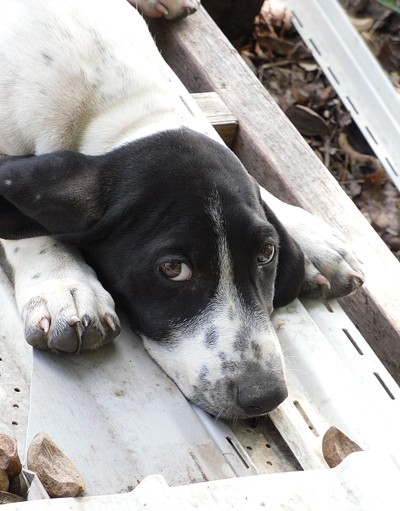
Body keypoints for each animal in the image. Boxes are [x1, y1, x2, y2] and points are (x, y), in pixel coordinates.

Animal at [0, 0, 364, 420]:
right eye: (173, 269)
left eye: (266, 253)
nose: (266, 396)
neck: (120, 108)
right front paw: (64, 285)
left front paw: (313, 241)